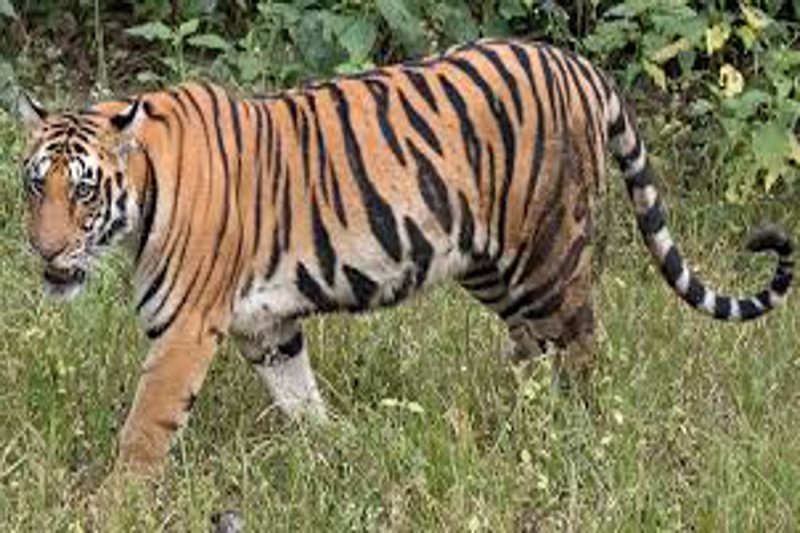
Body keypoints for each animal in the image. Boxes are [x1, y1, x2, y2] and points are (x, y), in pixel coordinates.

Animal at [16, 39, 794, 476]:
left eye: (83, 190)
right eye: (34, 184)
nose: (44, 249)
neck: (142, 197)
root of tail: (579, 65)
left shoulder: (183, 329)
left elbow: (145, 428)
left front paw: (115, 503)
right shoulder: (267, 327)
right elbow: (299, 395)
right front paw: (334, 448)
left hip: (547, 253)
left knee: (581, 346)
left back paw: (580, 435)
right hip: (492, 266)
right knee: (533, 348)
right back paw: (515, 423)